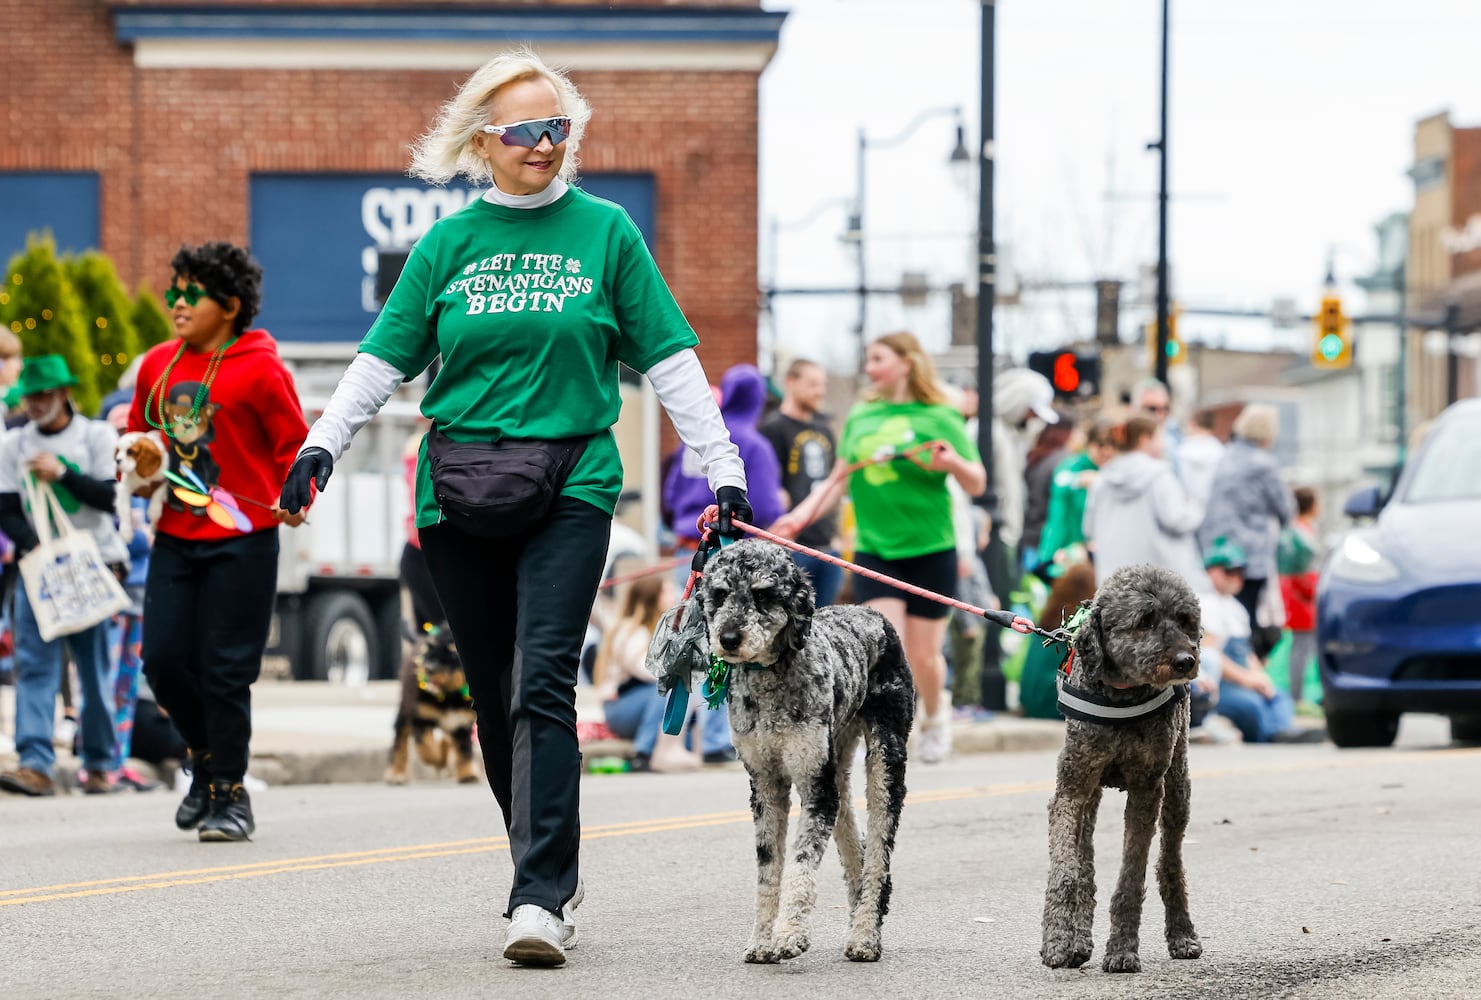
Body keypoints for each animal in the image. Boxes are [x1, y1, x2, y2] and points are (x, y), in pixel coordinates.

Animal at [693, 545, 912, 965]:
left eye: (763, 594)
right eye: (719, 594)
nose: (728, 638)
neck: (770, 680)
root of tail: (873, 615)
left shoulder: (815, 788)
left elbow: (800, 865)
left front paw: (790, 935)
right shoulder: (765, 786)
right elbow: (768, 871)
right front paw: (762, 941)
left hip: (885, 760)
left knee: (878, 852)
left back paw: (866, 933)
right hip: (836, 759)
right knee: (853, 838)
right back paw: (858, 917)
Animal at [1042, 565, 1202, 971]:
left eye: (1185, 620)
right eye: (1144, 621)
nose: (1186, 660)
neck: (1120, 695)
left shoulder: (1147, 790)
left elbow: (1131, 878)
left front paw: (1122, 950)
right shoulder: (1071, 788)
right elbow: (1067, 870)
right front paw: (1058, 939)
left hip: (1177, 786)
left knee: (1170, 862)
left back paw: (1182, 934)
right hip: (1092, 791)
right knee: (1085, 861)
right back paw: (1079, 939)